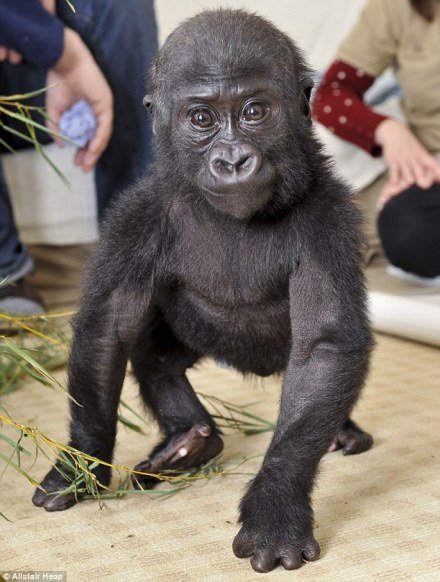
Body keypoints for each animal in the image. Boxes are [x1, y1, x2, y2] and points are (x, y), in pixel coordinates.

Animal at [32, 9, 372, 576]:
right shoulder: (136, 217)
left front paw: (275, 505)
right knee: (156, 356)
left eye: (254, 112)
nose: (232, 160)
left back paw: (340, 431)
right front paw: (81, 461)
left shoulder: (331, 218)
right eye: (201, 119)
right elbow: (108, 330)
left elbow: (324, 348)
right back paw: (191, 440)